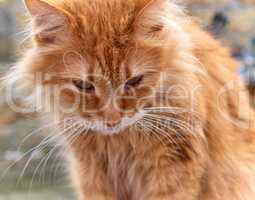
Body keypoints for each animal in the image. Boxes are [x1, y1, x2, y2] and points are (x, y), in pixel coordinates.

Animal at [4, 0, 255, 199]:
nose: (113, 119)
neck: (120, 142)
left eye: (134, 81)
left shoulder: (175, 162)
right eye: (84, 86)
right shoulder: (92, 173)